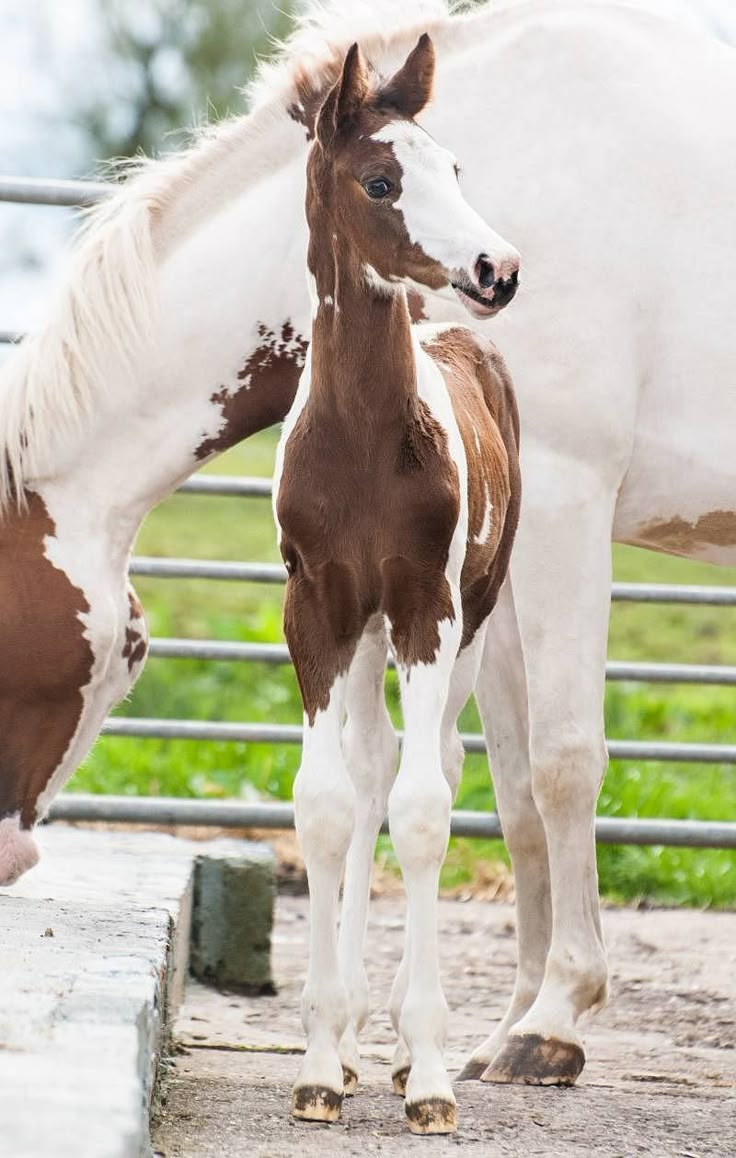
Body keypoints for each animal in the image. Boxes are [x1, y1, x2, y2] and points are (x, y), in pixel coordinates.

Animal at [1, 0, 736, 1088]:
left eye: (125, 659)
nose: (8, 857)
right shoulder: (485, 569)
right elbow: (507, 781)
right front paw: (482, 1026)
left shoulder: (563, 504)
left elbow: (564, 759)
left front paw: (551, 1022)